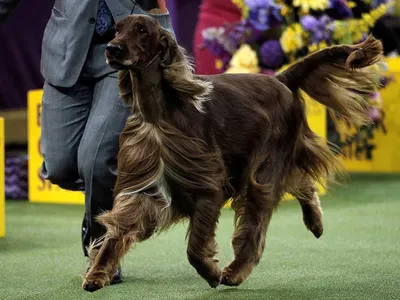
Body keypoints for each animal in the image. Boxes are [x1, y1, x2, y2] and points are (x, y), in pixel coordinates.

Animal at [82, 13, 384, 290]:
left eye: (142, 30)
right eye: (117, 29)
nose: (112, 49)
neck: (157, 115)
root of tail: (280, 79)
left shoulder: (208, 186)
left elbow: (195, 246)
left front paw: (211, 272)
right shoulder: (142, 186)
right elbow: (117, 233)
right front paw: (97, 274)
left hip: (263, 169)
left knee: (255, 229)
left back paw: (235, 271)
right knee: (302, 184)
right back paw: (314, 223)